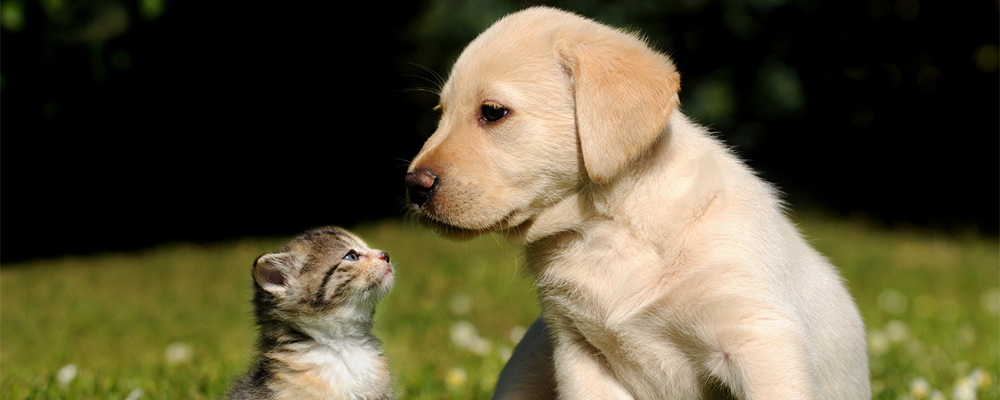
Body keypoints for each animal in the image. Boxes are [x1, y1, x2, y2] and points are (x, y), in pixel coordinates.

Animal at [404, 7, 868, 400]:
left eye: (493, 112)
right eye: (441, 112)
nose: (413, 185)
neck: (607, 230)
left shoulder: (760, 340)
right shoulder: (581, 354)